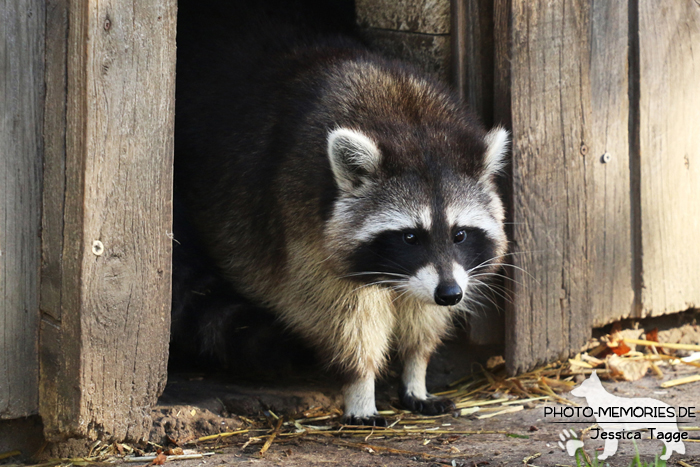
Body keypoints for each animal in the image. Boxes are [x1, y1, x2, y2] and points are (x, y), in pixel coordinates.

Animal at [175, 0, 508, 424]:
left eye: (459, 234)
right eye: (410, 236)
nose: (449, 294)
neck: (410, 119)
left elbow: (422, 316)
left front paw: (416, 370)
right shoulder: (301, 227)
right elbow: (342, 318)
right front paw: (360, 385)